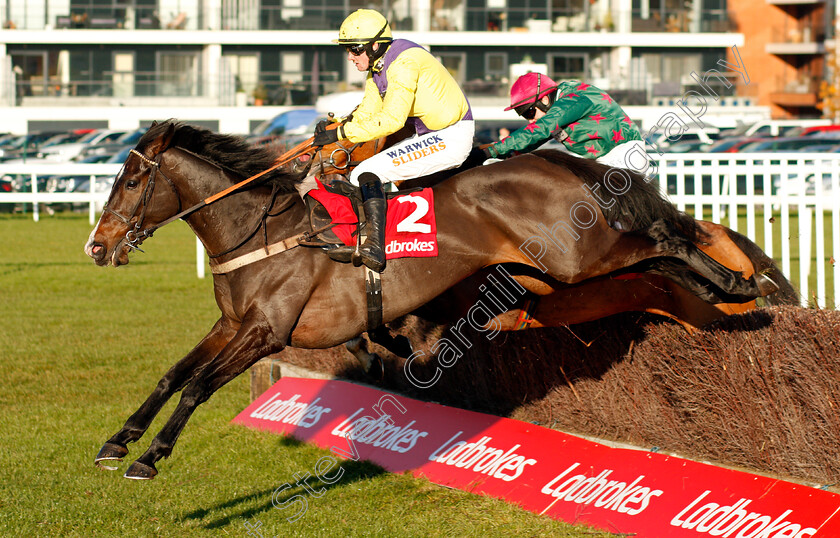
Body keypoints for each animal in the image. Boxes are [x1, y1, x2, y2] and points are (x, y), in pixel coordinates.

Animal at [82, 120, 776, 478]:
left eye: (133, 180)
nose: (97, 245)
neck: (263, 232)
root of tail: (561, 162)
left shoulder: (267, 333)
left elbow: (198, 386)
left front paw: (151, 457)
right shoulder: (233, 325)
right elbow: (175, 374)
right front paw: (120, 440)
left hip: (580, 258)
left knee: (665, 240)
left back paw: (740, 286)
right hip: (560, 277)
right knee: (656, 256)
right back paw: (721, 289)